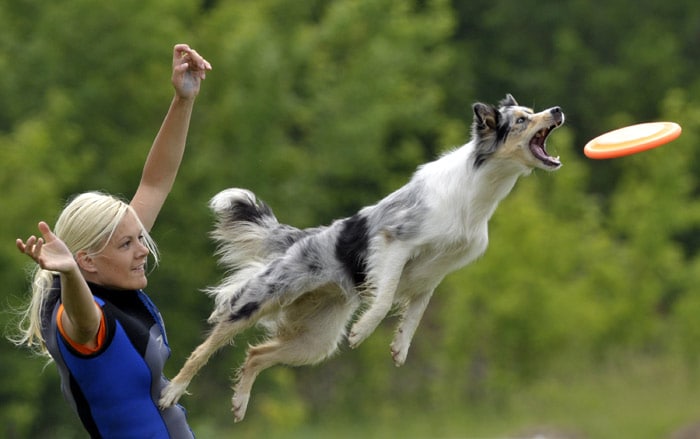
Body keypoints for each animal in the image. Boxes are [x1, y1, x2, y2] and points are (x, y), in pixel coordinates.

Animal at [159, 94, 564, 422]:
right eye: (522, 119)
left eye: (533, 112)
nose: (557, 110)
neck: (477, 191)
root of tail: (302, 238)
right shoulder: (395, 241)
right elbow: (384, 299)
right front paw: (364, 330)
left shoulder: (433, 275)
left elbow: (415, 314)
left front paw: (400, 348)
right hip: (259, 300)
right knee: (205, 348)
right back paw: (172, 392)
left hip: (315, 343)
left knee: (256, 353)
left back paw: (240, 403)